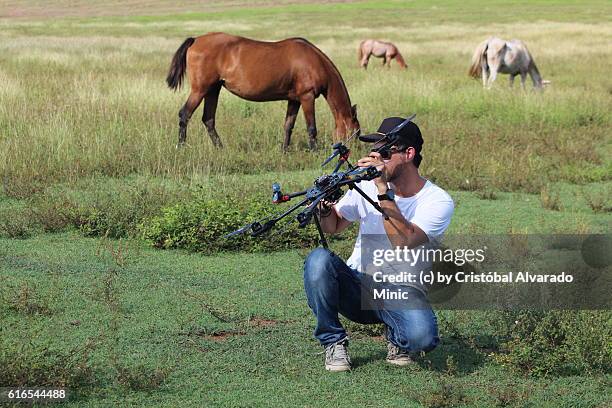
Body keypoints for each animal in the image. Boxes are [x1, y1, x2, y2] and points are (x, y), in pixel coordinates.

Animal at [165, 32, 360, 150]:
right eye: (356, 132)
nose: (354, 151)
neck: (313, 61)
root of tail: (196, 39)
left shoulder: (294, 100)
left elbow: (288, 126)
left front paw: (284, 150)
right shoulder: (307, 97)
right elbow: (311, 127)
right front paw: (314, 151)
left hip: (213, 90)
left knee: (208, 119)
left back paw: (221, 148)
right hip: (200, 89)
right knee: (185, 114)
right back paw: (181, 147)